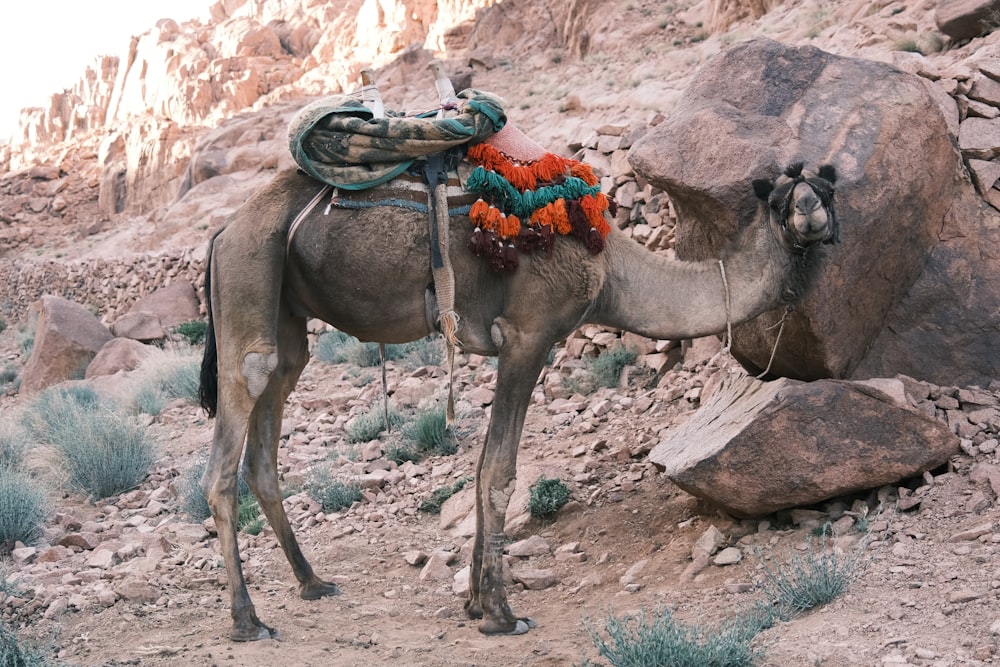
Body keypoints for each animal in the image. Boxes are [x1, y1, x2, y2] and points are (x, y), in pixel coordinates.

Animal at [195, 158, 836, 640]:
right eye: (782, 199)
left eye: (826, 188)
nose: (810, 210)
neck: (611, 269)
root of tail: (222, 232)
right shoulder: (530, 334)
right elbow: (500, 470)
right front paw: (503, 615)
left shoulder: (514, 343)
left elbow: (482, 465)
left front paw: (476, 603)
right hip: (250, 274)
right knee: (230, 444)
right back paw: (248, 621)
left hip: (286, 315)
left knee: (267, 443)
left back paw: (312, 582)